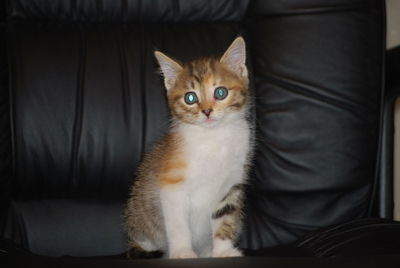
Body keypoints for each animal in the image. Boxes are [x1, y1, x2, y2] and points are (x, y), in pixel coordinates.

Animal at [123, 36, 252, 258]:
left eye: (220, 92)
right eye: (190, 98)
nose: (207, 111)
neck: (213, 138)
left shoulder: (230, 184)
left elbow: (224, 219)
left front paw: (223, 251)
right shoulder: (172, 184)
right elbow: (178, 224)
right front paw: (183, 252)